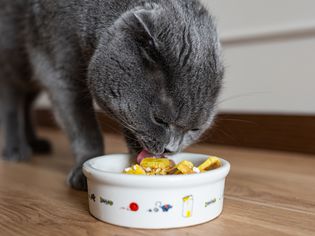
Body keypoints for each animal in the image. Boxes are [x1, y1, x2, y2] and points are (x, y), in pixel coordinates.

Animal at [1, 0, 226, 191]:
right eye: (159, 120)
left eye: (195, 129)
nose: (170, 149)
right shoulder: (59, 70)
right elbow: (82, 127)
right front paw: (83, 171)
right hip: (14, 54)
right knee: (12, 101)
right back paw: (15, 149)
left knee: (26, 103)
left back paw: (35, 142)